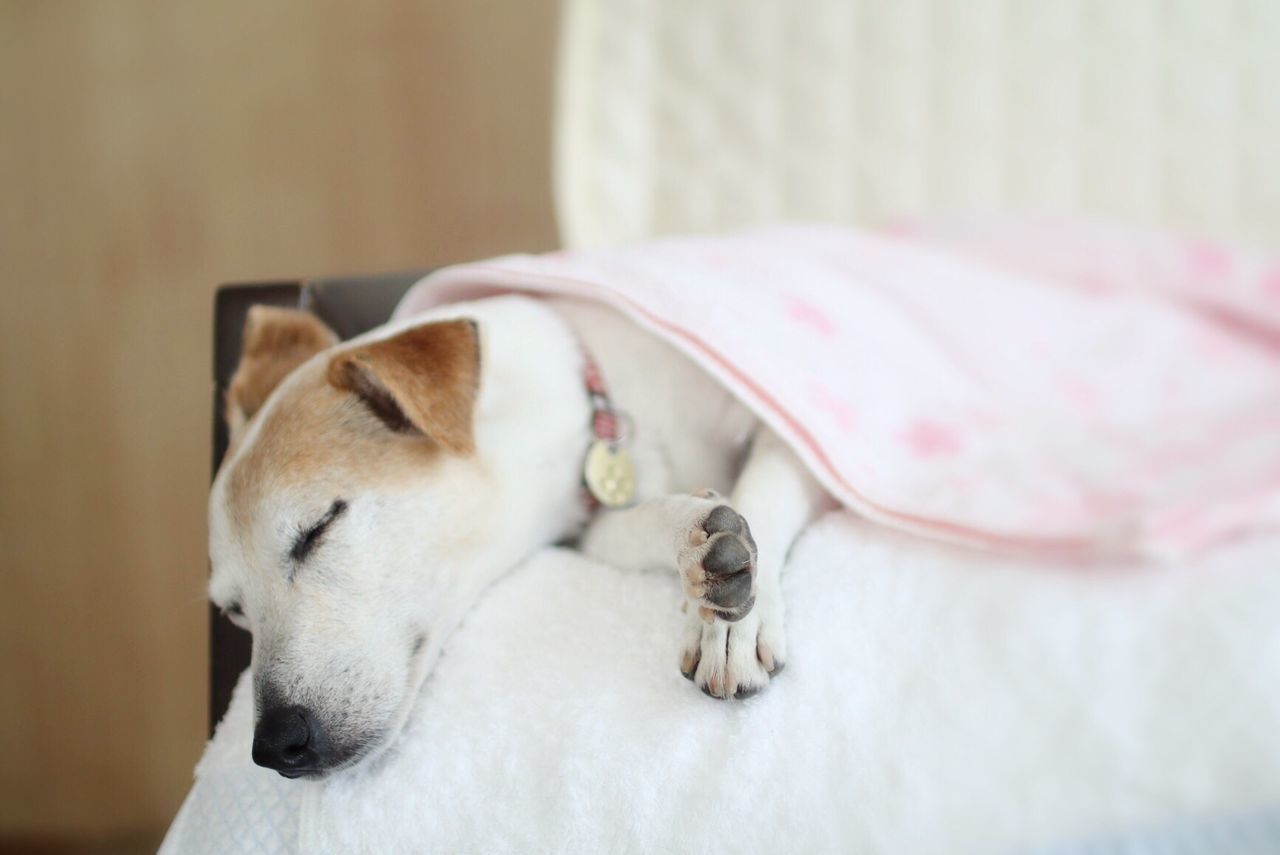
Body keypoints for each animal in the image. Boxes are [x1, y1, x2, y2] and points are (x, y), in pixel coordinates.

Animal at [207, 296, 829, 778]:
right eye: (234, 612)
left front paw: (735, 627)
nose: (275, 746)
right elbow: (639, 525)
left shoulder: (787, 432)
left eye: (318, 528)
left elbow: (763, 487)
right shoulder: (591, 526)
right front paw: (688, 536)